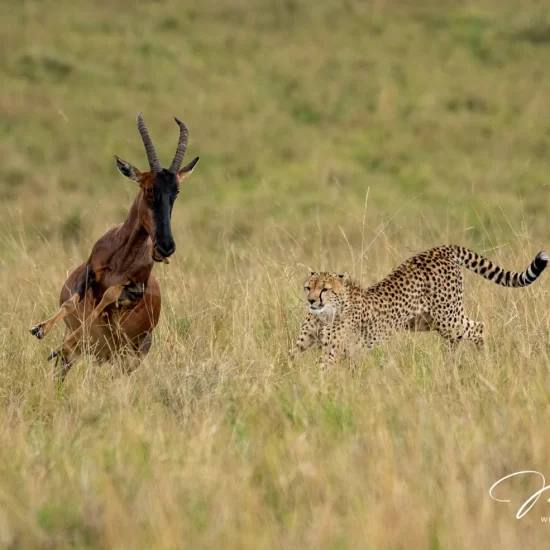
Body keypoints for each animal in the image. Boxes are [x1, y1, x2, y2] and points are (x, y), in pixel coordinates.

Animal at [28, 111, 201, 380]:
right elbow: (71, 302)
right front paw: (40, 329)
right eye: (148, 188)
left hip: (126, 359)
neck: (122, 258)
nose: (166, 246)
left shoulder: (133, 291)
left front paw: (57, 345)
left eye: (176, 191)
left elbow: (109, 294)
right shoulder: (90, 271)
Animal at [292, 247, 548, 370]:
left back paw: (483, 360)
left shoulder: (333, 350)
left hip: (447, 318)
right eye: (308, 288)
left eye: (324, 290)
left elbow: (322, 370)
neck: (326, 314)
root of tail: (440, 249)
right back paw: (451, 365)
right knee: (458, 338)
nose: (311, 301)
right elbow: (290, 358)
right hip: (426, 322)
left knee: (478, 327)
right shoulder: (305, 343)